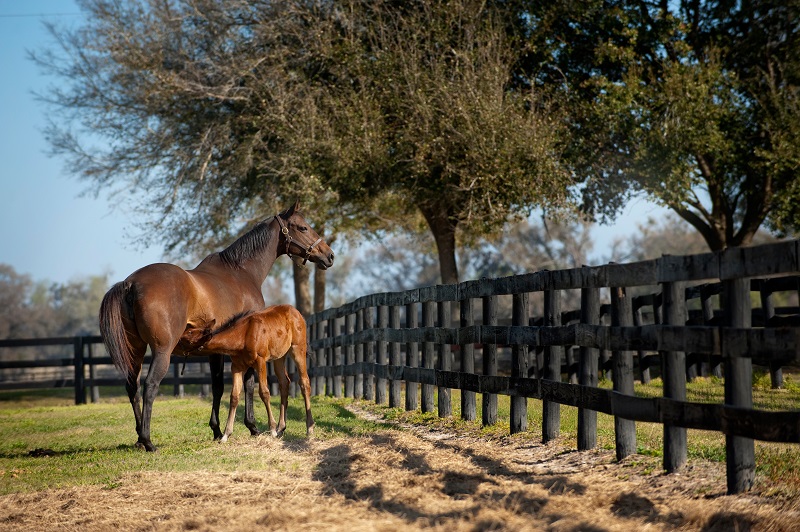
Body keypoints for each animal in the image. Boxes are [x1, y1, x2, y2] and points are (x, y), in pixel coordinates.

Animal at [181, 304, 313, 440]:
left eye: (189, 334)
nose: (176, 341)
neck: (243, 335)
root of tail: (296, 312)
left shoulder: (261, 361)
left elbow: (264, 392)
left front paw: (272, 429)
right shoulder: (237, 367)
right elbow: (234, 396)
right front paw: (226, 434)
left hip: (298, 349)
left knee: (304, 382)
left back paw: (309, 428)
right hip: (279, 357)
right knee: (284, 382)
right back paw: (281, 428)